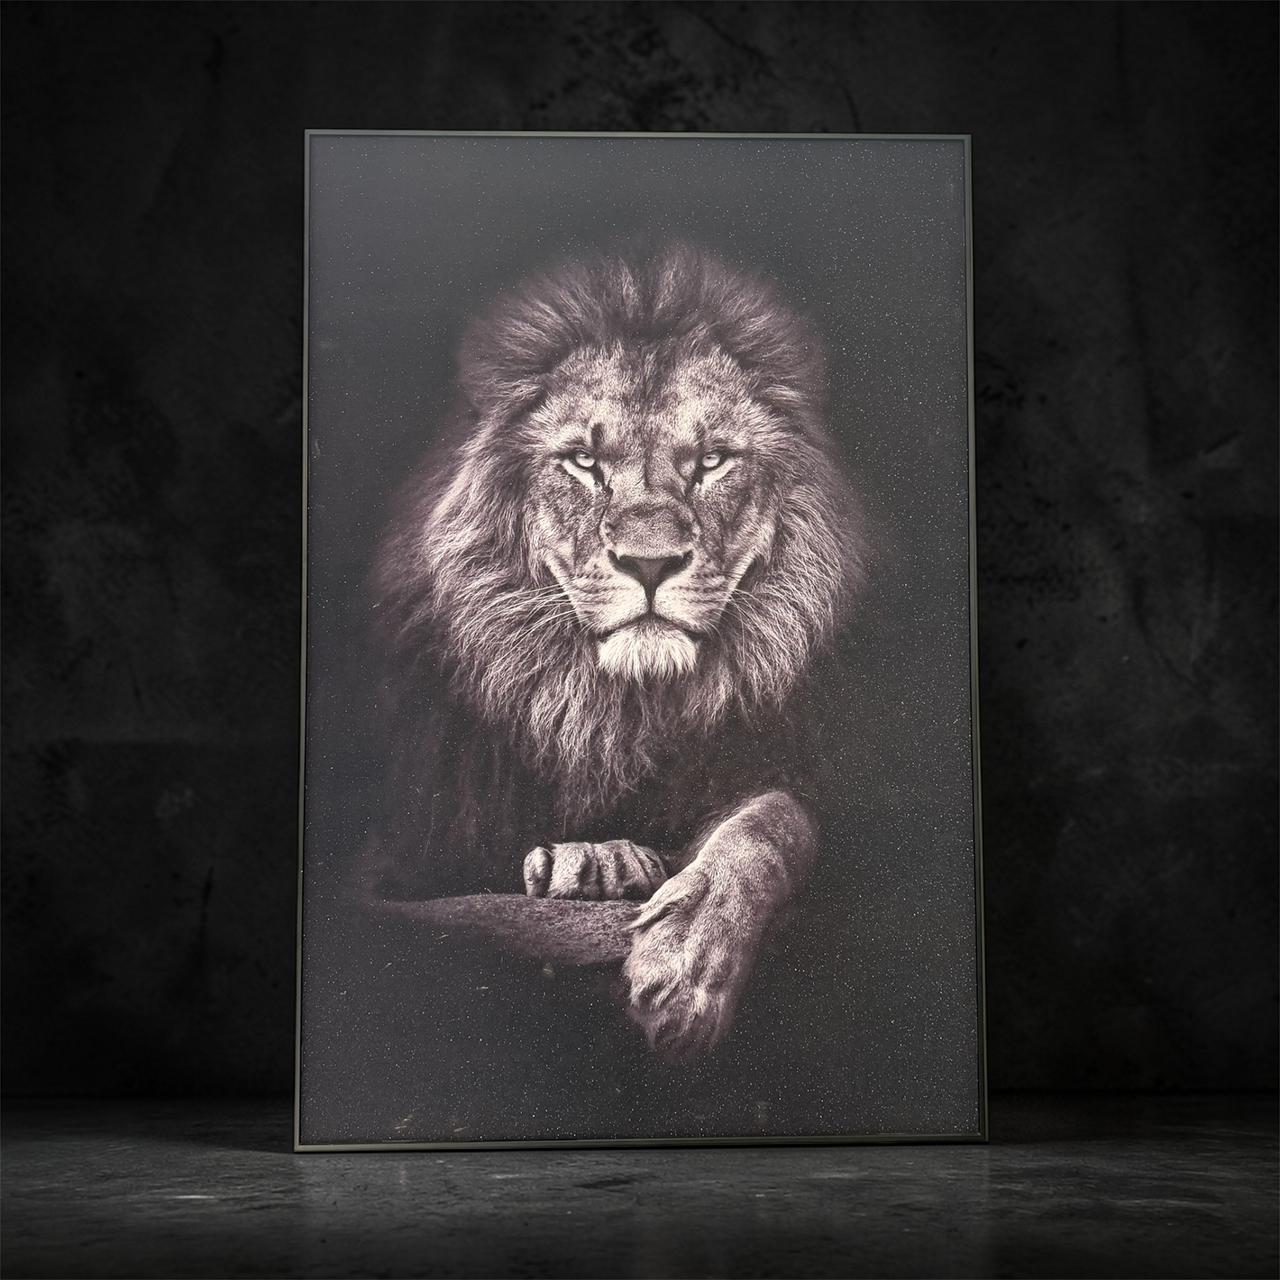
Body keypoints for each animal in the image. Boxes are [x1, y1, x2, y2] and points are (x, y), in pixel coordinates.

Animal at [364, 244, 866, 1062]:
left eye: (712, 462)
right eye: (583, 462)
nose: (650, 563)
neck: (620, 709)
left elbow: (774, 819)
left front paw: (687, 961)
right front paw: (592, 862)